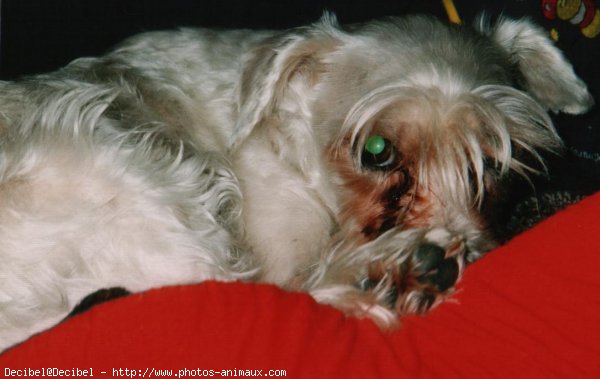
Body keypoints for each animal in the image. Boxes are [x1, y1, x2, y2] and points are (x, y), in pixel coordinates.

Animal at [0, 14, 592, 354]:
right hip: (152, 192)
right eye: (376, 151)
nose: (467, 250)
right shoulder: (280, 251)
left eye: (494, 162)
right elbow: (299, 284)